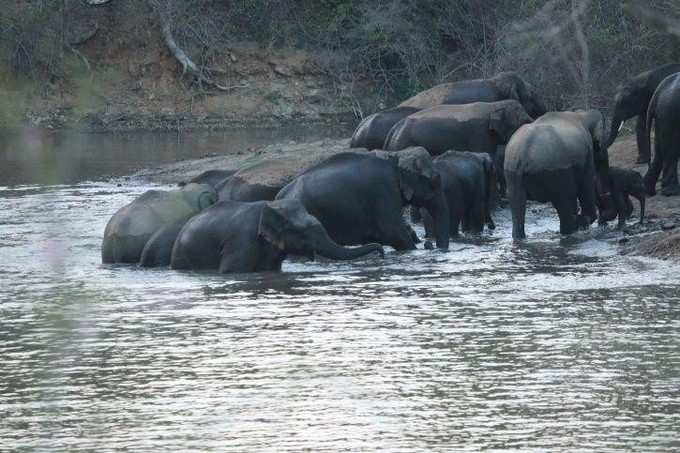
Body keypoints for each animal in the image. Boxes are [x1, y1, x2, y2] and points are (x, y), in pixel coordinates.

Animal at [170, 199, 382, 272]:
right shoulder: (242, 241)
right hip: (182, 255)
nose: (381, 252)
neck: (273, 205)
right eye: (305, 232)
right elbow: (231, 271)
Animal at [274, 150, 448, 252]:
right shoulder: (383, 193)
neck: (395, 159)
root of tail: (278, 196)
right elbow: (393, 232)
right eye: (434, 181)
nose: (429, 244)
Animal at [504, 109, 612, 238]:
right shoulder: (587, 152)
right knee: (565, 203)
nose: (603, 223)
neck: (582, 114)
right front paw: (583, 221)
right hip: (558, 172)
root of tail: (523, 156)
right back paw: (571, 230)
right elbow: (586, 184)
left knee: (517, 206)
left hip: (512, 174)